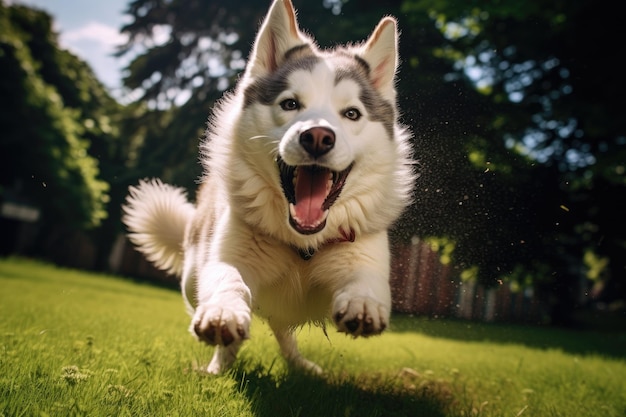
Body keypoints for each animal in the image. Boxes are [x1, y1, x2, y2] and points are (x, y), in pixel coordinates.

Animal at [123, 0, 412, 374]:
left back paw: (300, 364)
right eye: (290, 104)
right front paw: (222, 312)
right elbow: (228, 280)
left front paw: (363, 303)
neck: (303, 243)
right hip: (191, 278)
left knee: (282, 329)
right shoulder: (229, 257)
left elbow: (365, 280)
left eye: (351, 113)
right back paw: (219, 366)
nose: (318, 137)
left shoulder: (362, 251)